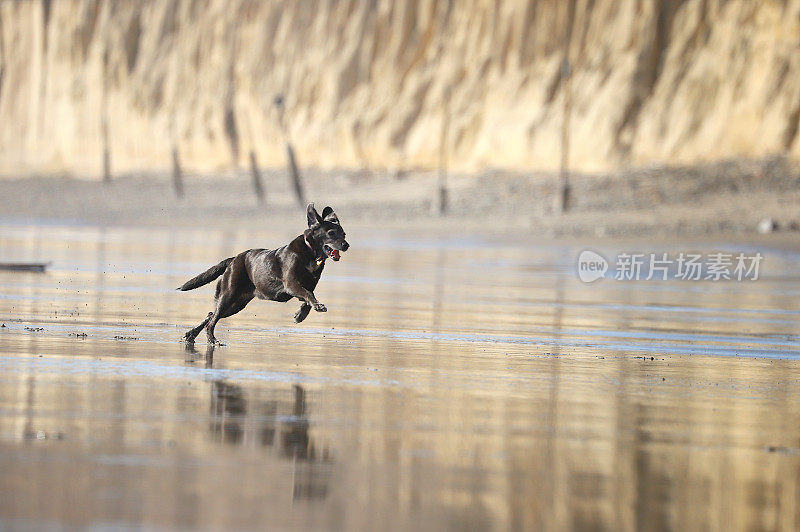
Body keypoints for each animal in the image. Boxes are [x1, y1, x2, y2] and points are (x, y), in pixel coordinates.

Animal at [180, 202, 348, 342]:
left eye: (344, 234)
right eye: (331, 233)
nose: (346, 245)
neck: (310, 252)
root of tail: (233, 259)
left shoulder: (307, 285)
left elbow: (308, 297)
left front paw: (300, 315)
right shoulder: (291, 284)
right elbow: (308, 294)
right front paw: (316, 307)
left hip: (237, 304)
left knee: (211, 314)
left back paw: (191, 334)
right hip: (228, 295)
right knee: (213, 319)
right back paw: (212, 340)